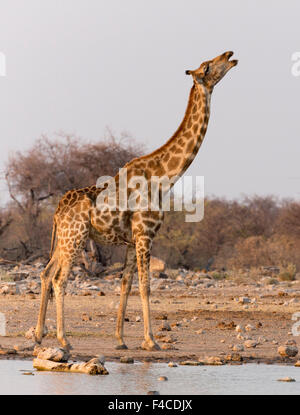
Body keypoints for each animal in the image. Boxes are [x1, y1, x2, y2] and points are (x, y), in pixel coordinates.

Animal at [34, 50, 237, 352]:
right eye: (208, 67)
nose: (230, 55)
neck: (165, 176)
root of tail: (57, 212)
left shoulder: (132, 240)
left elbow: (126, 283)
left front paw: (120, 339)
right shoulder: (145, 234)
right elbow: (146, 285)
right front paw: (151, 340)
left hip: (64, 239)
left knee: (47, 273)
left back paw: (38, 333)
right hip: (76, 237)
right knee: (60, 279)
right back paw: (63, 339)